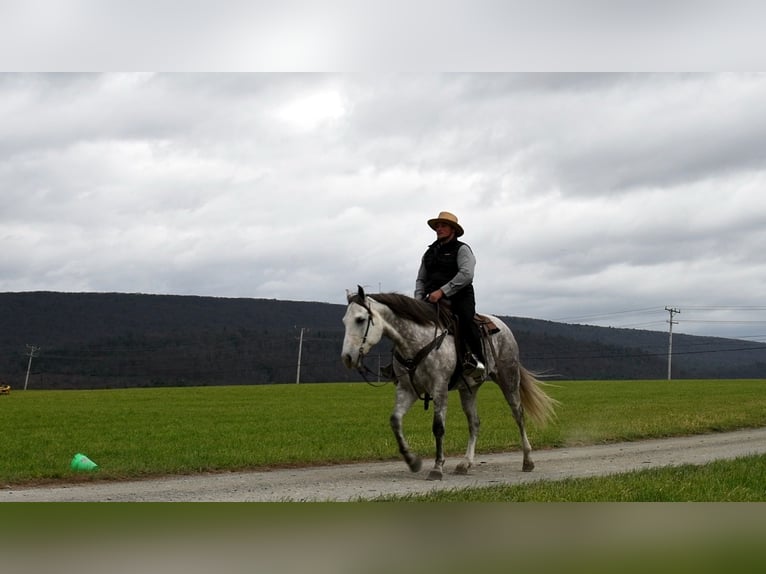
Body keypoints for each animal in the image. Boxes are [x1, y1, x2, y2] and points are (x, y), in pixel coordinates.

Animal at [342, 286, 560, 482]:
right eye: (344, 321)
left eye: (360, 319)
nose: (347, 357)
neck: (416, 342)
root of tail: (503, 326)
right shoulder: (407, 389)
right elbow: (395, 420)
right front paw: (412, 461)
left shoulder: (439, 388)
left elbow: (438, 427)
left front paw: (437, 468)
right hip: (469, 390)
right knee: (474, 422)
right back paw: (465, 464)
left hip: (508, 378)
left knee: (518, 415)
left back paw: (528, 461)